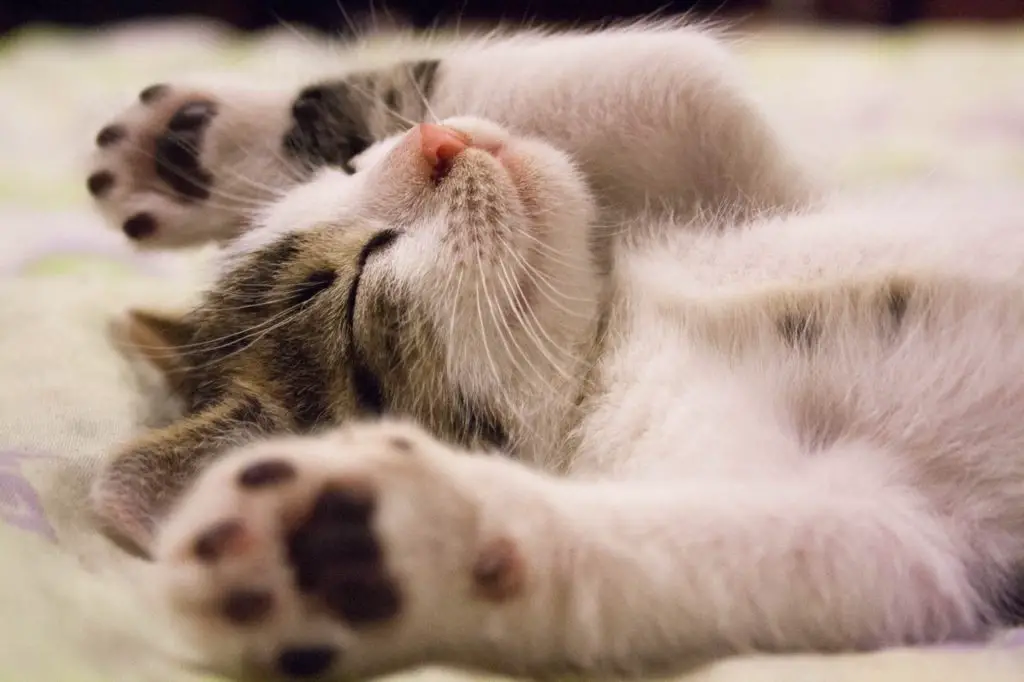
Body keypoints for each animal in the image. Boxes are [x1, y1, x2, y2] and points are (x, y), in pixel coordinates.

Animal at [86, 19, 1024, 679]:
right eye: (353, 287)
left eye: (350, 170)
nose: (439, 143)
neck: (614, 333)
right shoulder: (926, 543)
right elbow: (834, 548)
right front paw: (370, 543)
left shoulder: (773, 193)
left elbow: (678, 79)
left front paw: (195, 145)